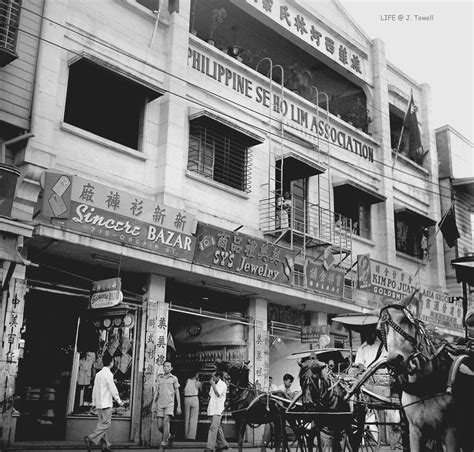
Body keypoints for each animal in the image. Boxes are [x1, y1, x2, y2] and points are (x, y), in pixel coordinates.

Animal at [378, 290, 474, 452]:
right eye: (380, 330)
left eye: (405, 320)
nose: (394, 360)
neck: (425, 385)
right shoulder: (415, 432)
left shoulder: (451, 432)